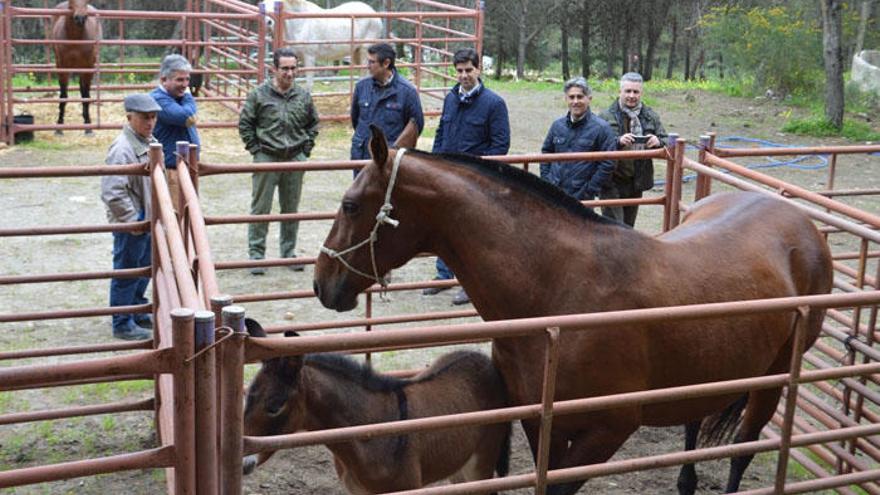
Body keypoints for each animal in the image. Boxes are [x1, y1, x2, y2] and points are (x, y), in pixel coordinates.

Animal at [51, 0, 102, 135]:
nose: (80, 18)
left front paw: (88, 126)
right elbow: (63, 96)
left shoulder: (88, 67)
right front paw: (59, 125)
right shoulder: (62, 66)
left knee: (82, 90)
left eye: (87, 1)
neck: (75, 38)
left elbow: (86, 95)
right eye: (71, 1)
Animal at [242, 320, 516, 494]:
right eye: (247, 399)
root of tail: (481, 358)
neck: (368, 435)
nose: (242, 462)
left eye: (275, 406)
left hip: (482, 462)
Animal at [312, 124, 836, 495]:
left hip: (771, 382)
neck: (559, 291)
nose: (322, 282)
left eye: (351, 204)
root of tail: (802, 224)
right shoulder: (540, 418)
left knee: (742, 452)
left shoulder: (607, 429)